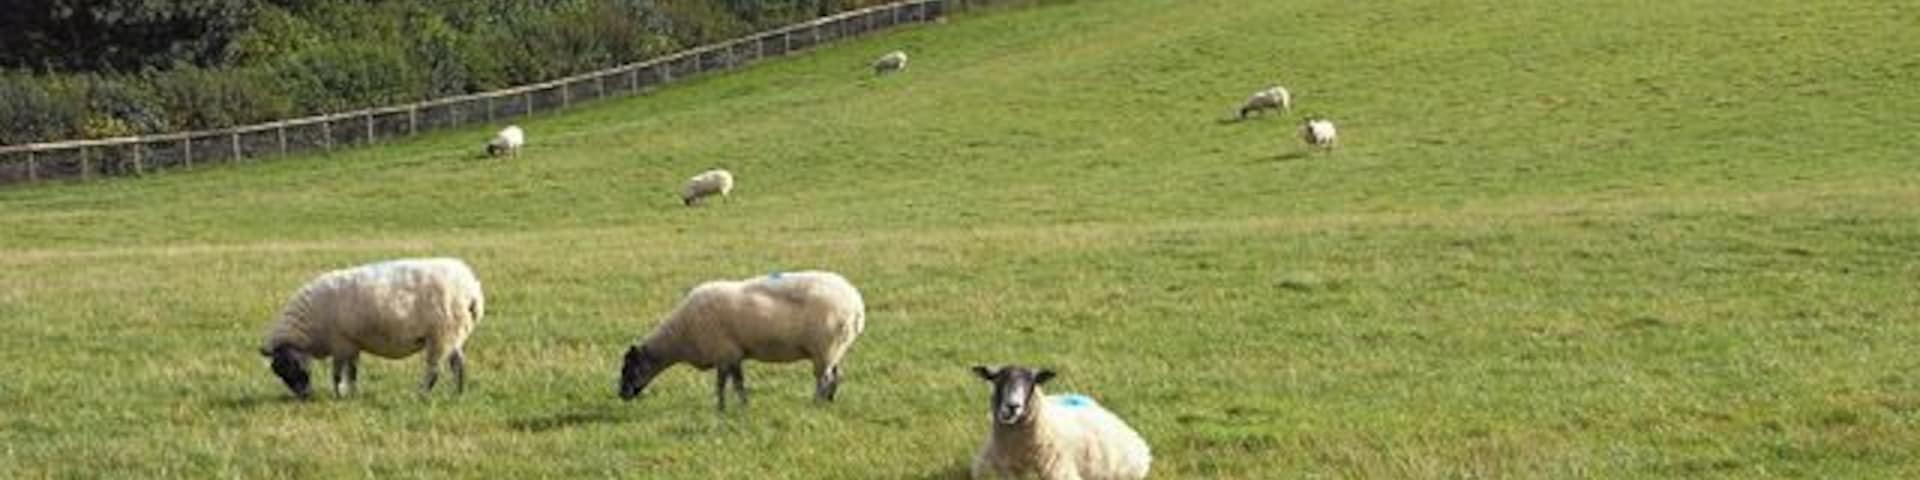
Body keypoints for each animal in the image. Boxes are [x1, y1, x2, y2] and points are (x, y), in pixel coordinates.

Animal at [258, 258, 485, 399]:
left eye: (290, 365)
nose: (304, 396)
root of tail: (471, 288)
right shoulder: (352, 344)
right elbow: (352, 372)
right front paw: (352, 394)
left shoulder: (340, 343)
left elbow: (337, 374)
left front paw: (339, 394)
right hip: (455, 333)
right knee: (458, 365)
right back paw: (458, 394)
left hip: (441, 334)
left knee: (434, 370)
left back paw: (421, 394)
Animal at [618, 270, 866, 411]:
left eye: (628, 368)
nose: (621, 395)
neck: (680, 335)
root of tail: (856, 303)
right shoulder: (733, 355)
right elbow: (736, 383)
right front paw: (741, 406)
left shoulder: (723, 353)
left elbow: (723, 384)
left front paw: (721, 408)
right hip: (835, 348)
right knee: (836, 375)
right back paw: (829, 402)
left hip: (824, 347)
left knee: (823, 379)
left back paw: (814, 405)